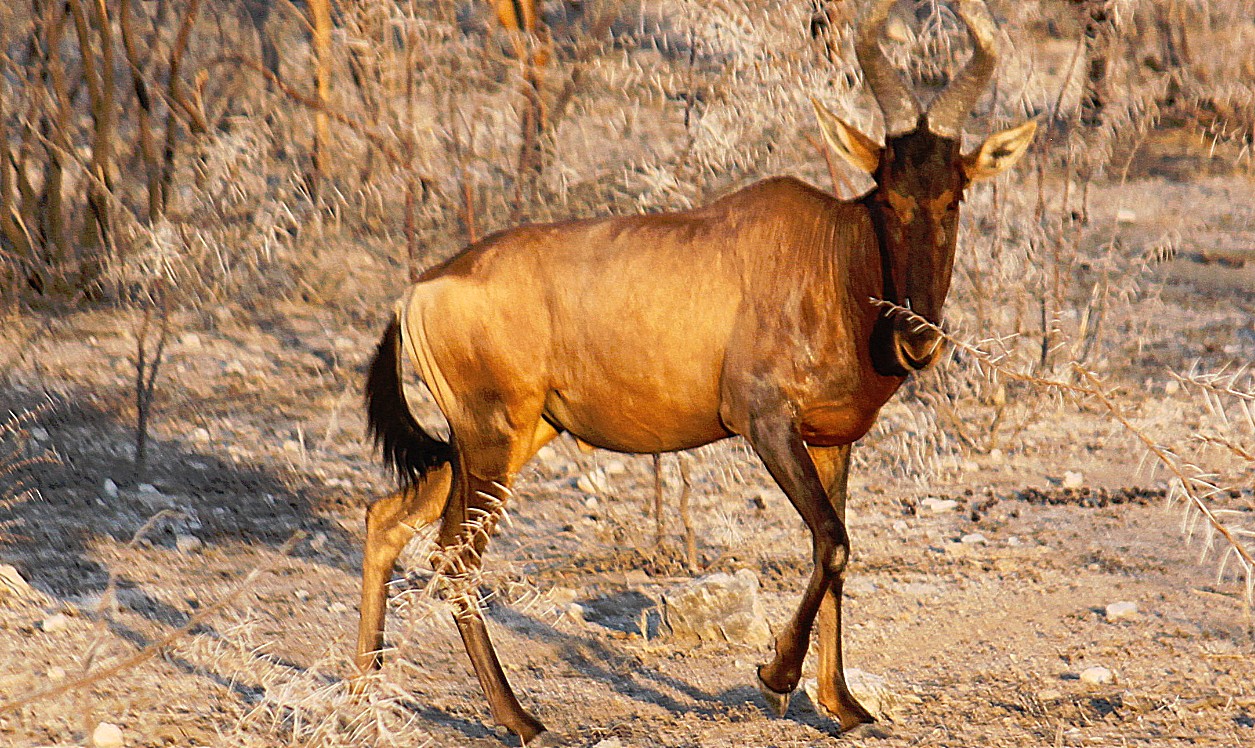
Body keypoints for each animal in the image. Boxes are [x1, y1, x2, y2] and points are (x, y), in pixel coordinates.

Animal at [356, 0, 1039, 742]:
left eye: (954, 195)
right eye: (885, 195)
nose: (917, 340)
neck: (829, 255)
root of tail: (420, 288)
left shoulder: (832, 442)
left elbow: (833, 549)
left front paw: (845, 707)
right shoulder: (763, 423)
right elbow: (832, 542)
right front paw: (776, 678)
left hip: (506, 437)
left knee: (386, 520)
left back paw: (361, 695)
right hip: (491, 437)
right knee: (454, 557)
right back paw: (521, 719)